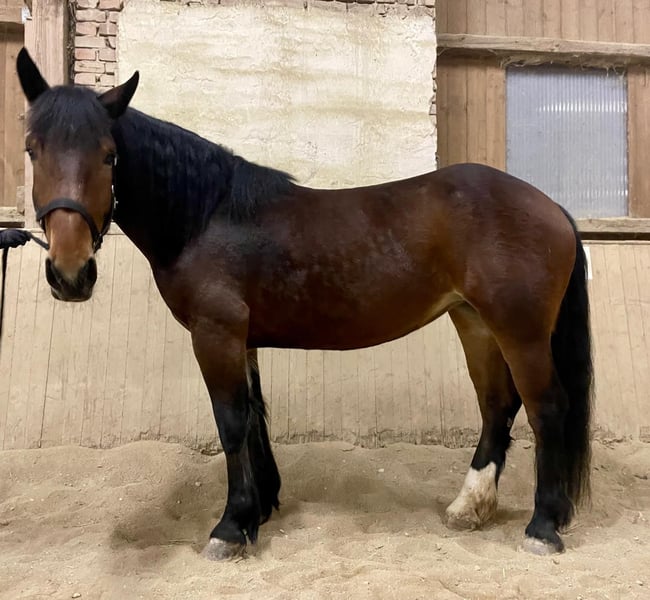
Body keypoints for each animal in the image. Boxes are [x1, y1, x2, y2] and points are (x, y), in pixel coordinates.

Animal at [16, 48, 592, 560]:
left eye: (109, 155)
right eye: (31, 149)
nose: (70, 271)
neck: (208, 217)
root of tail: (551, 206)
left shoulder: (215, 333)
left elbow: (231, 421)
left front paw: (230, 527)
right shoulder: (240, 339)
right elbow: (254, 417)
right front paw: (260, 509)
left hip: (520, 331)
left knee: (546, 408)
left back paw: (543, 526)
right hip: (474, 321)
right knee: (497, 405)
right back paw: (470, 507)